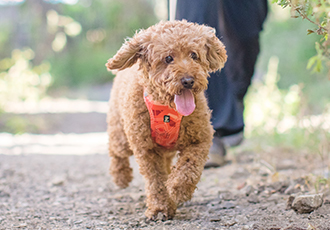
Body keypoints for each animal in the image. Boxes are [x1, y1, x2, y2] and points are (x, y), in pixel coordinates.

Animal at [105, 20, 227, 220]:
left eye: (194, 55)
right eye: (168, 58)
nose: (188, 80)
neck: (167, 110)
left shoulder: (199, 139)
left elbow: (189, 167)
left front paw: (179, 190)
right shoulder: (145, 148)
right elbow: (156, 181)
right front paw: (160, 208)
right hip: (122, 135)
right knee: (116, 151)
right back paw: (120, 176)